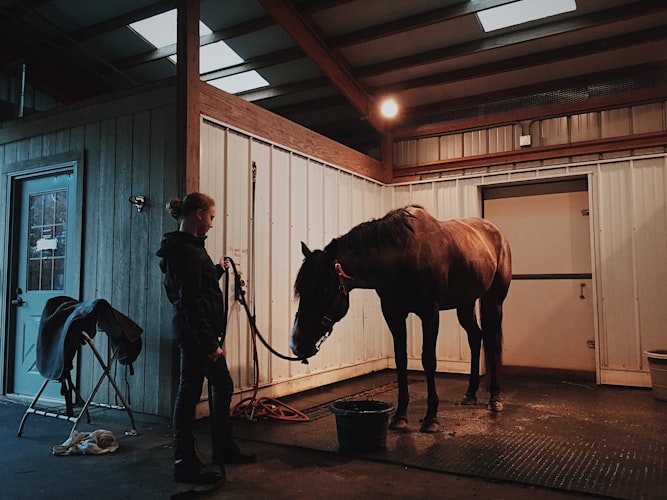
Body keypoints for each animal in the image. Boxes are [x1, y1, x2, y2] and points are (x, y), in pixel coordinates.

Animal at [290, 204, 511, 433]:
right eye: (301, 290)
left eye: (325, 289)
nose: (297, 344)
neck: (403, 256)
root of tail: (497, 234)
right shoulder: (393, 314)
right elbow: (400, 359)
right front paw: (400, 416)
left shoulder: (429, 313)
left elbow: (428, 360)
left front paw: (431, 417)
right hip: (465, 304)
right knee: (475, 338)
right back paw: (470, 393)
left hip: (493, 301)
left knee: (493, 342)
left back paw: (495, 398)